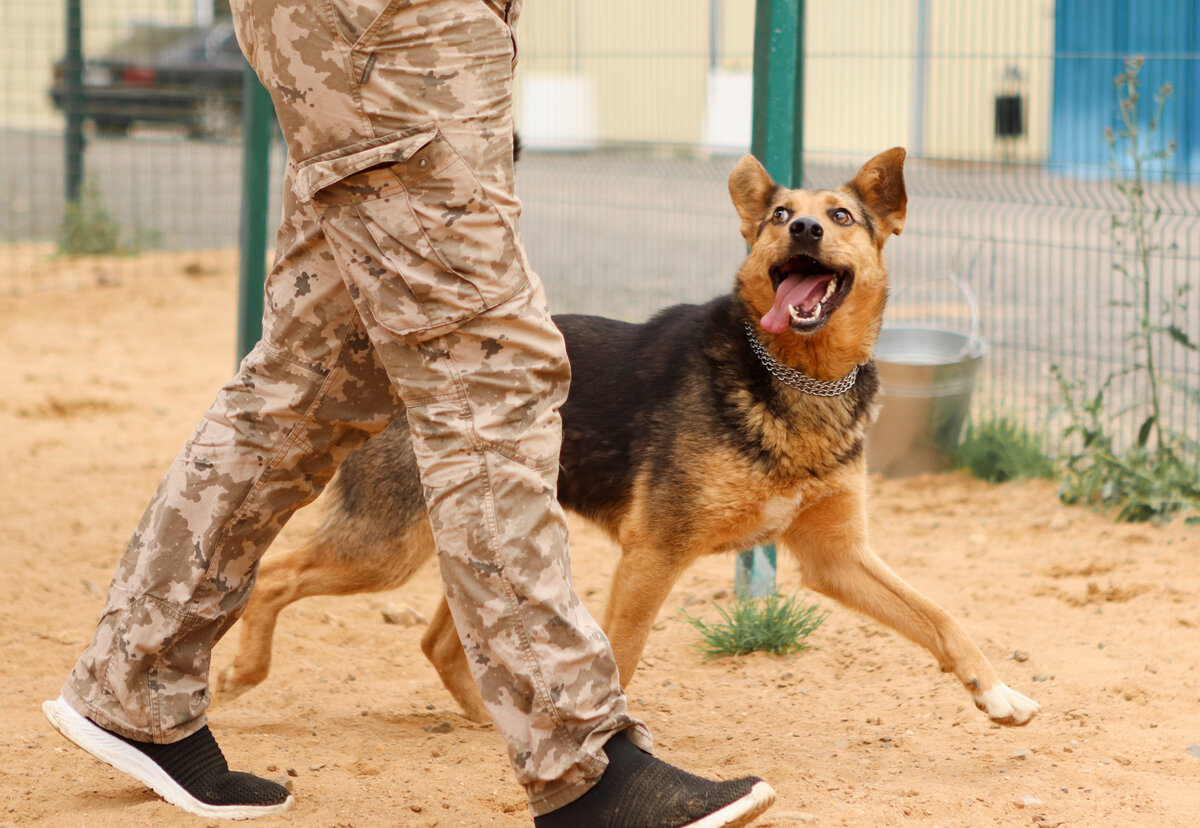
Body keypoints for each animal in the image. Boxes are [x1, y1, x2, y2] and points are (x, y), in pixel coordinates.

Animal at [218, 147, 1041, 720]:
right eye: (780, 218)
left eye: (840, 218)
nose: (805, 227)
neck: (792, 376)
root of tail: (397, 365)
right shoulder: (656, 550)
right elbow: (623, 654)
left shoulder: (835, 557)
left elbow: (939, 616)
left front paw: (996, 693)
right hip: (390, 544)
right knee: (277, 574)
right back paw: (240, 673)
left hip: (487, 535)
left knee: (438, 643)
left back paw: (497, 727)